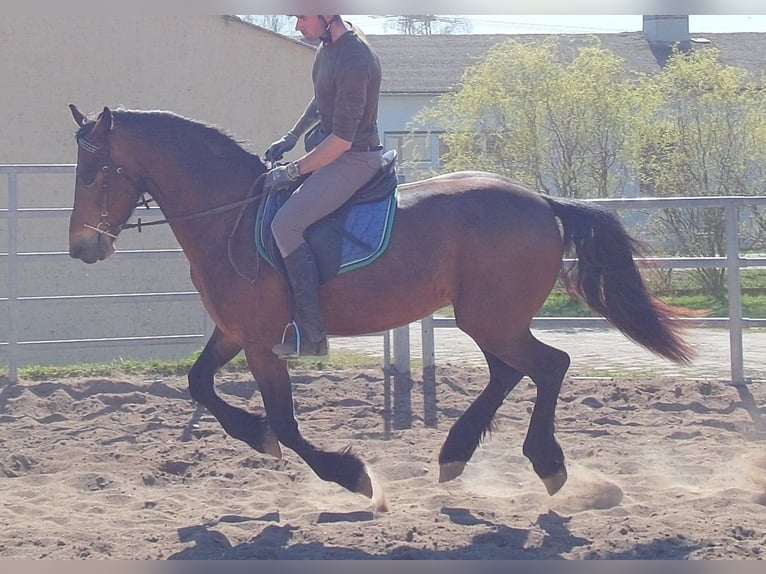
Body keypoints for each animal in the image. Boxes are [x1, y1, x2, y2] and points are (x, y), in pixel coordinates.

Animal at [67, 104, 694, 510]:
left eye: (97, 173)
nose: (80, 248)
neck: (232, 218)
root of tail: (540, 199)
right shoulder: (234, 332)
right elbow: (198, 383)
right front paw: (256, 436)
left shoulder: (262, 342)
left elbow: (287, 424)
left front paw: (350, 476)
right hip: (489, 321)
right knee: (511, 372)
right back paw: (457, 454)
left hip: (490, 319)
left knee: (549, 366)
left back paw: (547, 464)